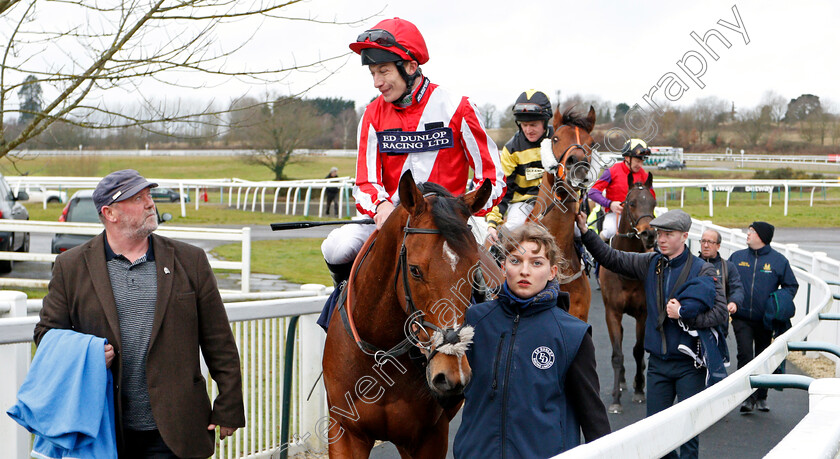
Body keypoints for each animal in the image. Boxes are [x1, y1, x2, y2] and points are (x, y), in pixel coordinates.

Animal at [322, 172, 492, 459]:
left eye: (474, 267)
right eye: (414, 270)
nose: (451, 374)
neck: (382, 352)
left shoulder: (430, 436)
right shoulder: (345, 431)